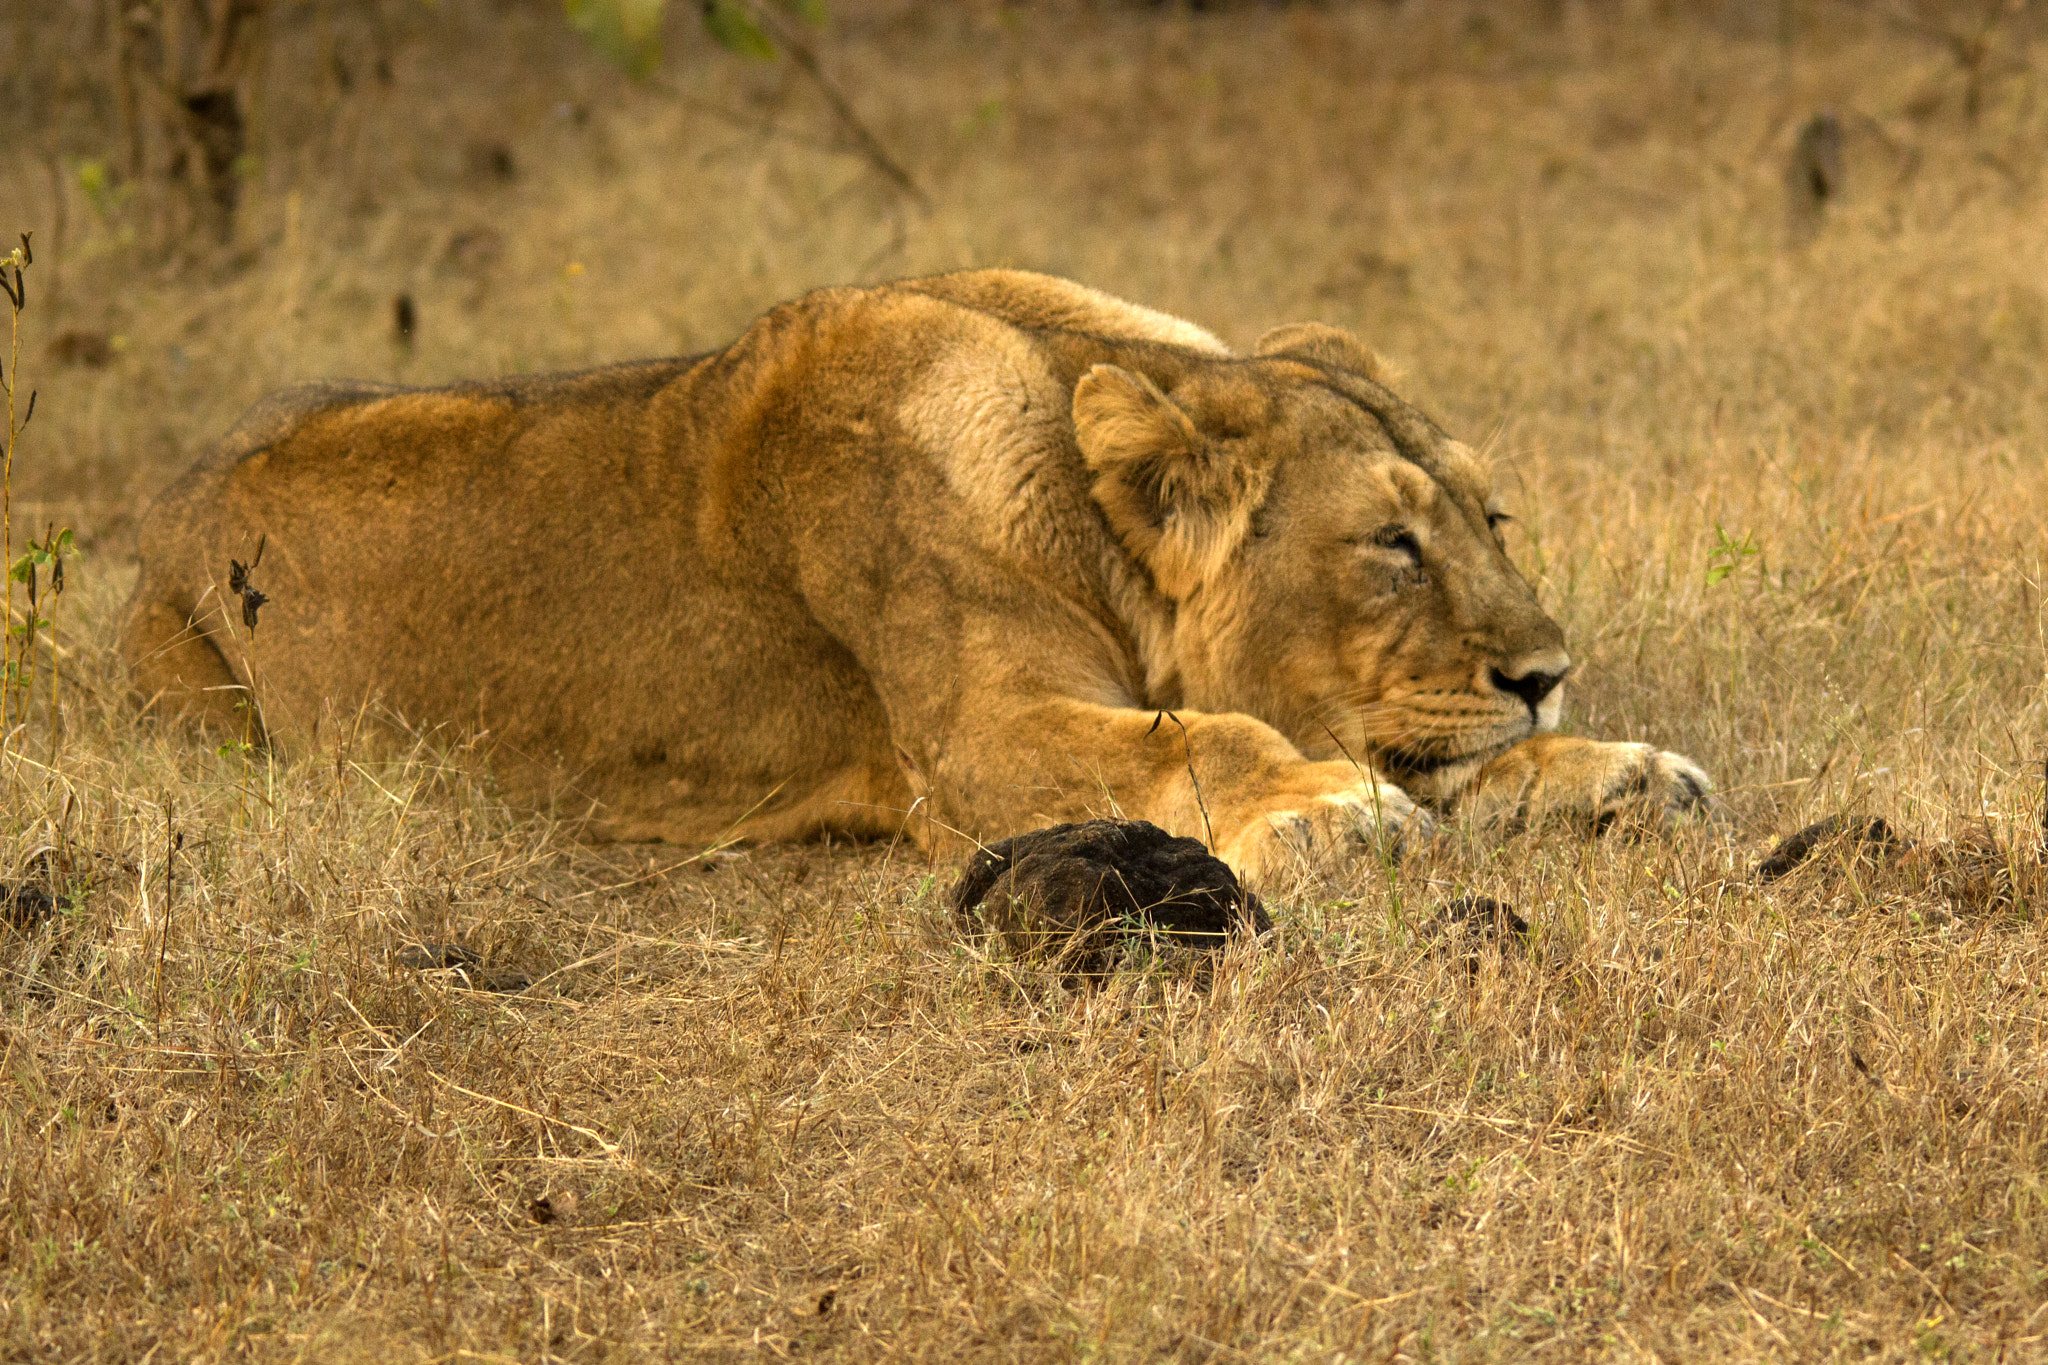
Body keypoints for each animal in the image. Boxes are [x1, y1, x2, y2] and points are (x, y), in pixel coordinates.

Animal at [120, 270, 1710, 888]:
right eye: (1390, 547)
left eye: (1490, 517)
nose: (1545, 672)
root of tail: (174, 490)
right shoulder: (974, 739)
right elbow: (1206, 736)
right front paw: (1324, 809)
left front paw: (1611, 768)